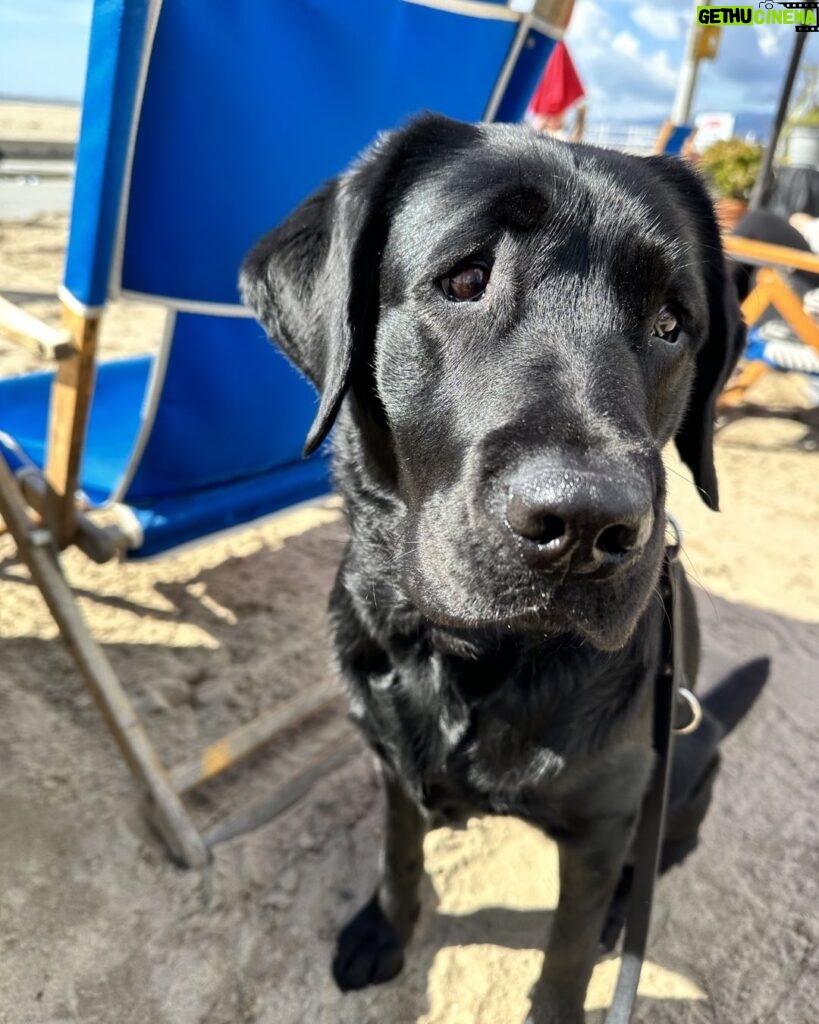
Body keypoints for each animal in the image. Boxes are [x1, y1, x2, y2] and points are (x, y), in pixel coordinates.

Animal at [239, 116, 745, 1019]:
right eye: (465, 279)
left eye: (671, 323)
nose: (585, 524)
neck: (463, 661)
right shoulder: (388, 760)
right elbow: (399, 854)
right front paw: (384, 929)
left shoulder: (603, 822)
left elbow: (566, 957)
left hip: (689, 755)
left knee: (650, 868)